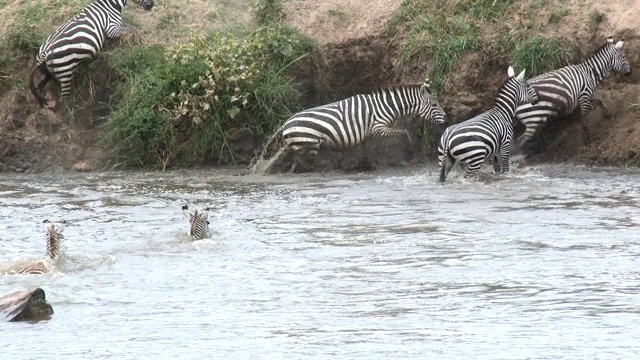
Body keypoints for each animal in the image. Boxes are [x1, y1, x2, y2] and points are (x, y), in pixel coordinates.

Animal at [248, 79, 448, 174]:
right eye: (434, 104)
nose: (446, 119)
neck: (386, 106)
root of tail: (286, 123)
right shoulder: (378, 127)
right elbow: (403, 132)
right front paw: (409, 152)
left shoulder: (368, 133)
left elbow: (366, 149)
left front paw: (365, 165)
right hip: (309, 144)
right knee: (299, 164)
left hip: (298, 145)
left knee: (290, 163)